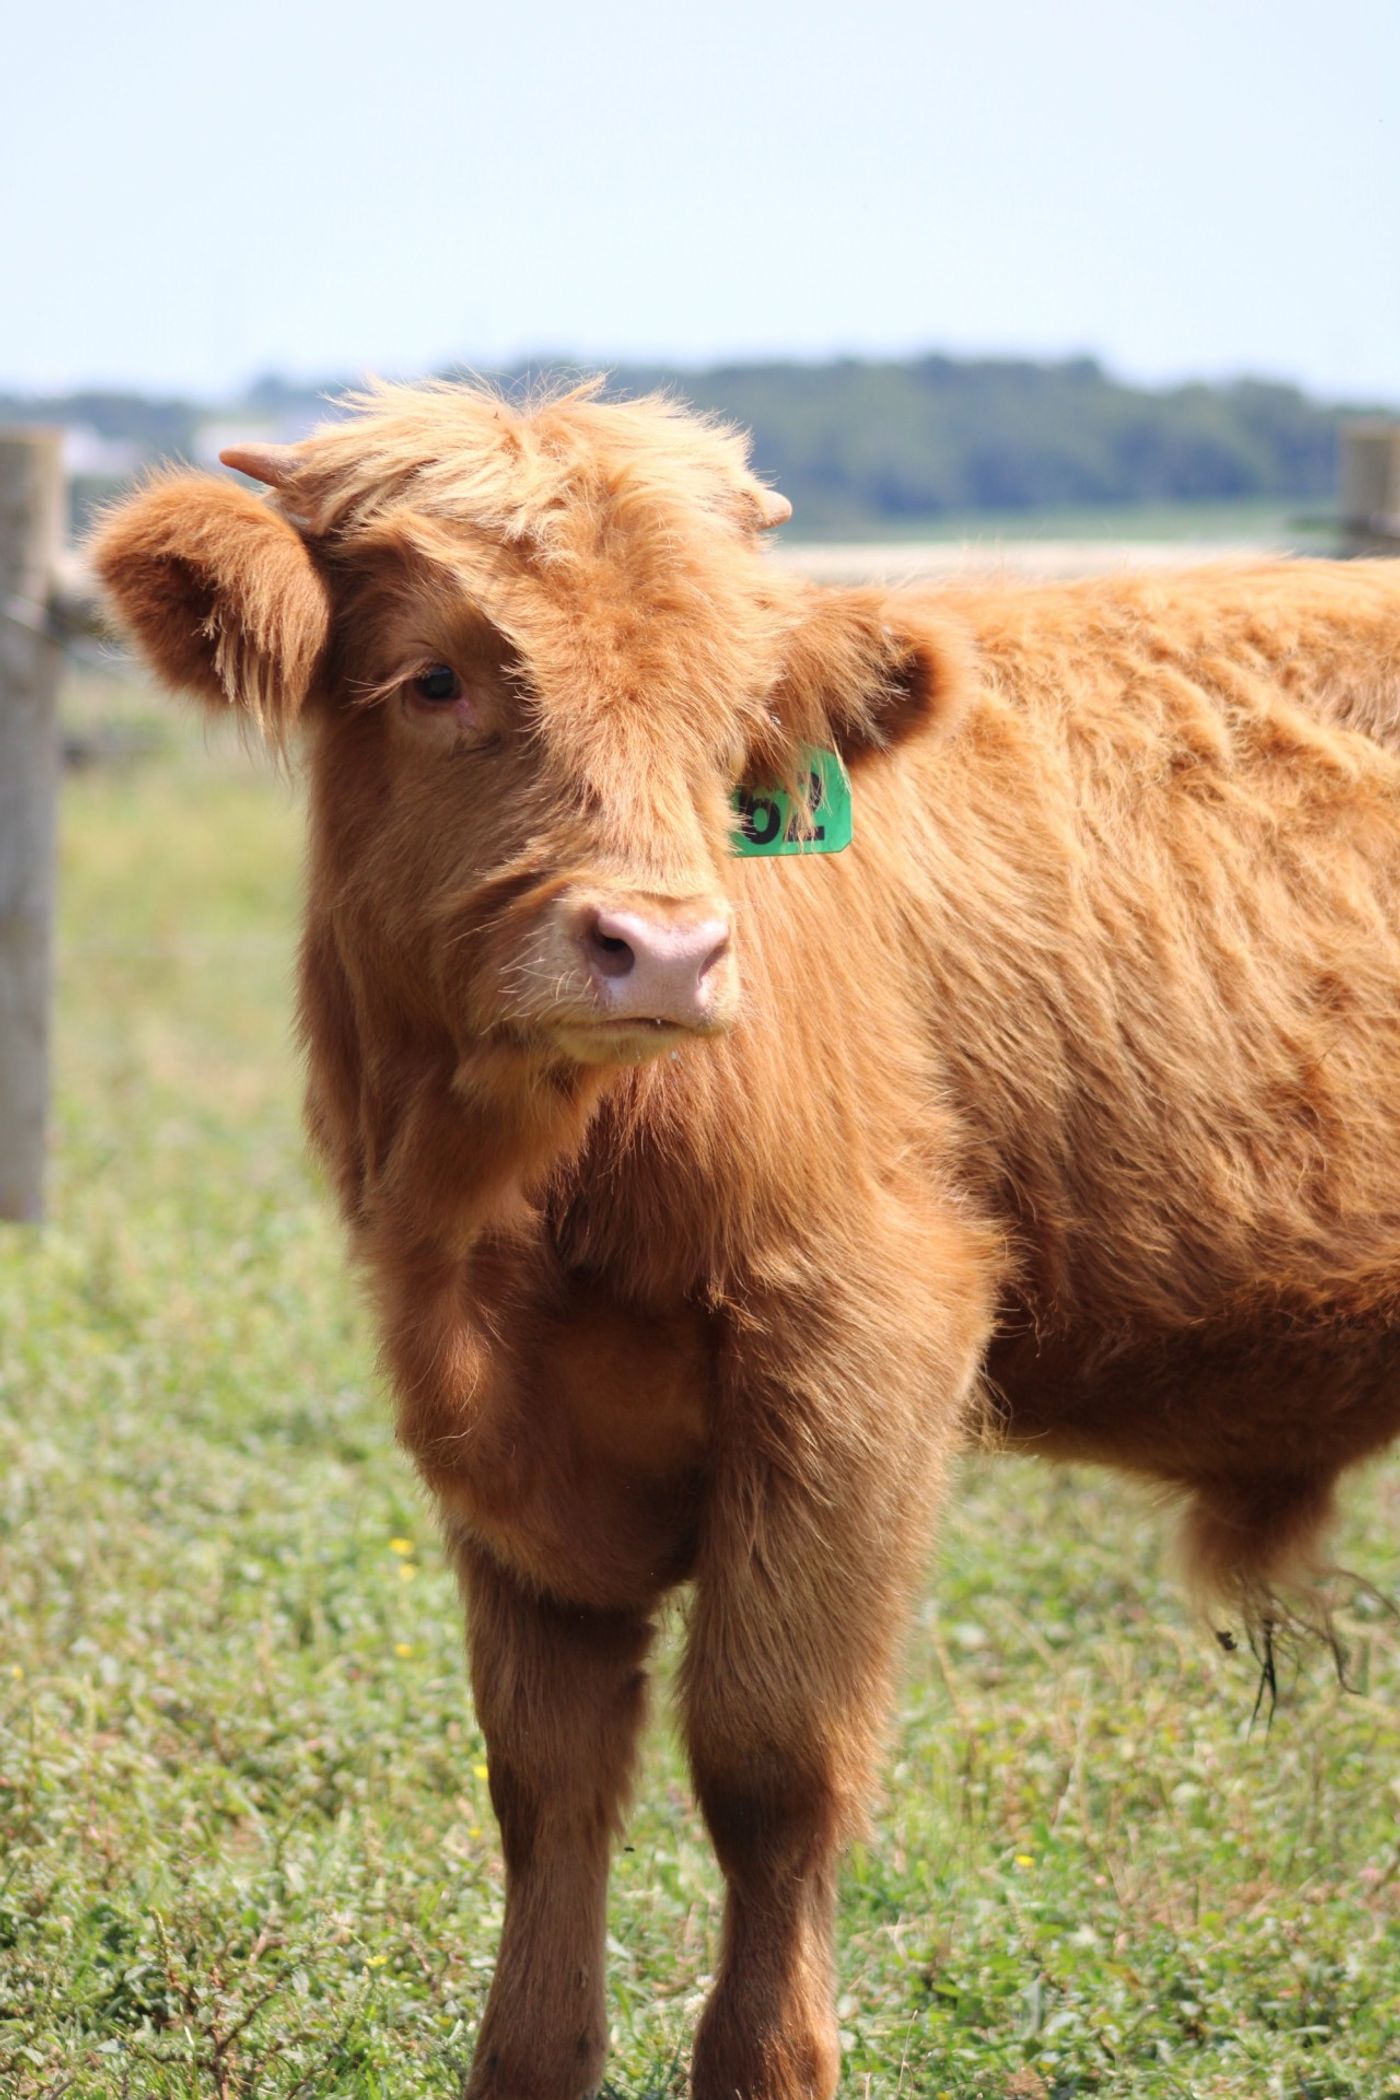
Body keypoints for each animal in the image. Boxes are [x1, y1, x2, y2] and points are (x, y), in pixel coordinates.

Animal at [94, 380, 1400, 2100]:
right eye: (435, 677)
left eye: (727, 726)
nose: (662, 948)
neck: (535, 1194)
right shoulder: (496, 1435)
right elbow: (547, 1775)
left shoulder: (862, 1347)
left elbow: (773, 1760)